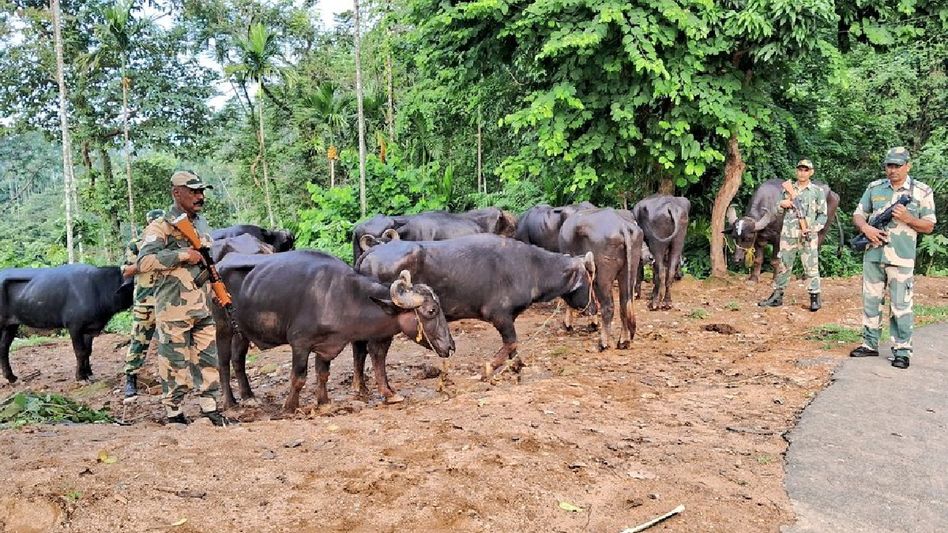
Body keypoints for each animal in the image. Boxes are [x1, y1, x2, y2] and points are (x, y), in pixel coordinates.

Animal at [0, 265, 133, 383]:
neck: (98, 288)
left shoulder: (89, 328)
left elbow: (88, 351)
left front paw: (88, 372)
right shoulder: (74, 327)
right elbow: (80, 352)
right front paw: (81, 376)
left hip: (11, 325)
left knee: (3, 347)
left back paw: (10, 377)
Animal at [213, 251, 454, 410]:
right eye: (432, 310)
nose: (450, 346)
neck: (341, 297)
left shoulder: (328, 345)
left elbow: (323, 374)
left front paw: (324, 401)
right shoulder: (300, 344)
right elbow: (298, 377)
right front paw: (289, 406)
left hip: (242, 333)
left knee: (238, 360)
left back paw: (248, 396)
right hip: (222, 326)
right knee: (223, 363)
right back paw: (230, 402)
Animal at [354, 234, 596, 384]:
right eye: (589, 280)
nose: (594, 308)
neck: (531, 267)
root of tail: (372, 251)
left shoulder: (510, 319)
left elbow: (513, 348)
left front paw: (517, 368)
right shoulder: (500, 316)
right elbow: (511, 343)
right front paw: (489, 369)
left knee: (360, 349)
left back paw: (362, 389)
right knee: (375, 351)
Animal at [559, 208, 644, 351]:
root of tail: (623, 226)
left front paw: (568, 324)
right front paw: (592, 323)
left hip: (603, 275)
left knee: (609, 306)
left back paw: (603, 343)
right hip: (630, 268)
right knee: (625, 303)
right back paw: (623, 341)